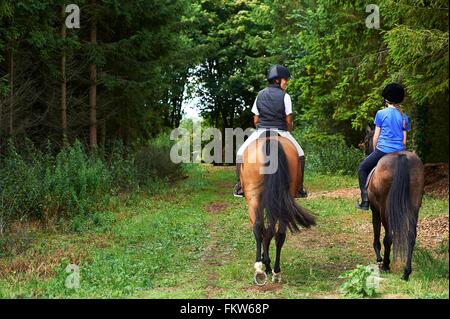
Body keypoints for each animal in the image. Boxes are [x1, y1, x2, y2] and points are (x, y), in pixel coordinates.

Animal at [239, 131, 316, 286]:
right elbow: (269, 232)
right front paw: (267, 263)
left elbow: (265, 231)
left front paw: (265, 262)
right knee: (279, 234)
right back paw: (275, 272)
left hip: (254, 197)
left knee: (259, 229)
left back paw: (261, 269)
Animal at [364, 127, 424, 280]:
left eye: (366, 140)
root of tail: (401, 157)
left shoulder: (375, 209)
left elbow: (376, 230)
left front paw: (379, 258)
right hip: (414, 206)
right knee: (411, 236)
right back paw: (406, 272)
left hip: (384, 209)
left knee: (389, 237)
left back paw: (385, 265)